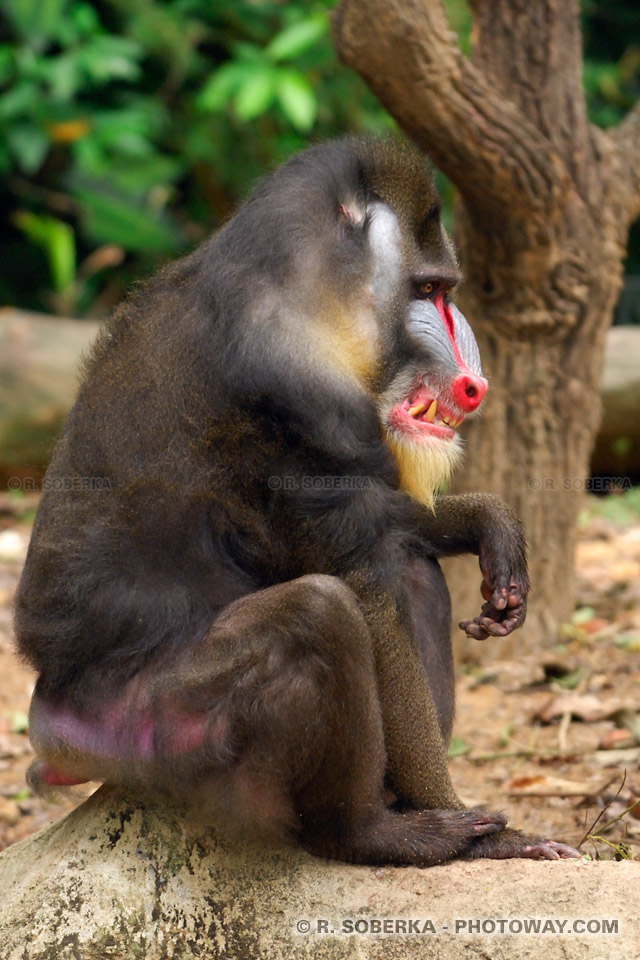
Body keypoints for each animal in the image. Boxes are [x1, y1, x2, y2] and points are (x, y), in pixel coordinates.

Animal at [13, 139, 580, 868]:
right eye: (428, 291)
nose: (473, 384)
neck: (303, 292)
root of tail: (52, 724)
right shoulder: (303, 395)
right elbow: (363, 582)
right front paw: (494, 839)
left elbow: (394, 530)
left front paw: (493, 526)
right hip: (151, 726)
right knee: (319, 614)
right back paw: (378, 831)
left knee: (417, 573)